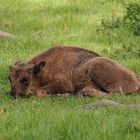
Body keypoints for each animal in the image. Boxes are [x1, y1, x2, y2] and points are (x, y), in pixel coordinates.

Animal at [8, 45, 140, 97]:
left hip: (98, 66)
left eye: (25, 79)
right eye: (10, 78)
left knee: (116, 94)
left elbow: (39, 92)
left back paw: (82, 92)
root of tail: (136, 78)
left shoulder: (66, 84)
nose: (13, 94)